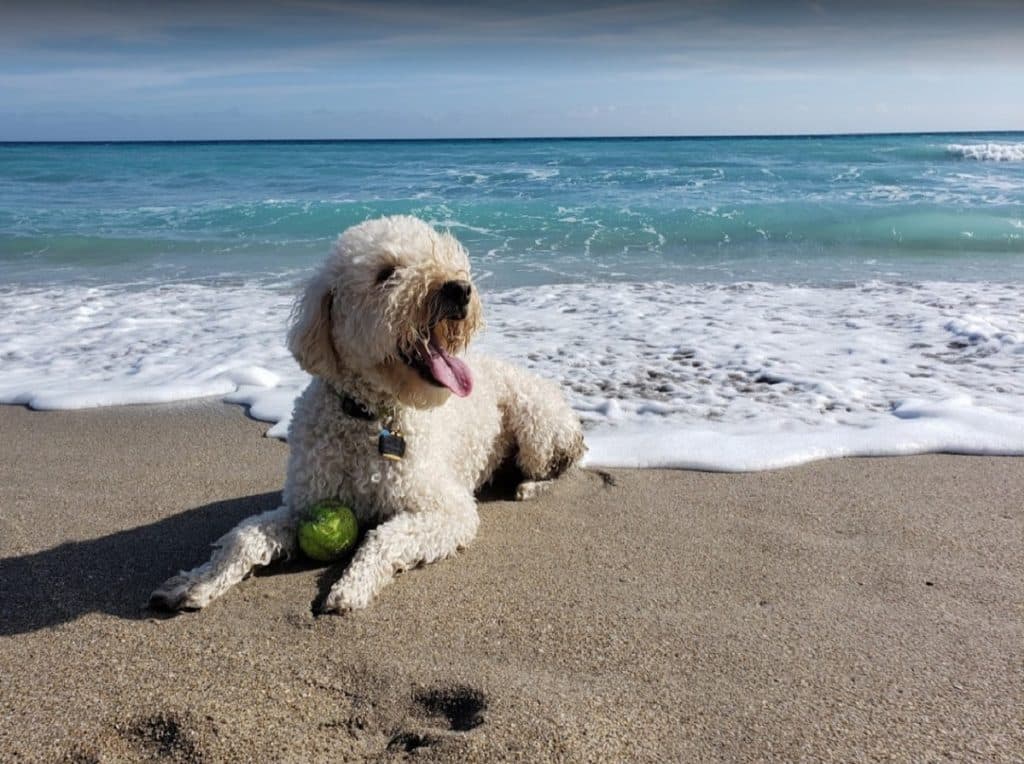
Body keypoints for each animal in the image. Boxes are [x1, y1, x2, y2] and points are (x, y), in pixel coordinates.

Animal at [150, 214, 585, 614]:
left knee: (557, 466)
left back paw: (528, 486)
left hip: (535, 423)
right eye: (386, 273)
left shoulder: (446, 508)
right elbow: (244, 535)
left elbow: (384, 537)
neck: (369, 416)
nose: (460, 288)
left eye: (446, 258)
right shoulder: (303, 503)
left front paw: (351, 586)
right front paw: (196, 582)